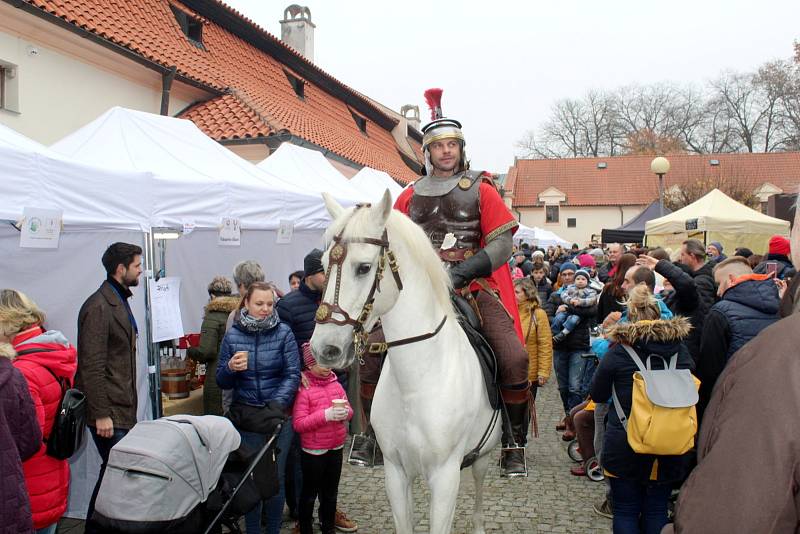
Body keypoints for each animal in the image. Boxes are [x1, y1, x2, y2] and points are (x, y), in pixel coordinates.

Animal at [310, 193, 500, 534]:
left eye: (364, 268)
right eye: (323, 265)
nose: (325, 349)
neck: (419, 380)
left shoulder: (445, 477)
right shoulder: (396, 472)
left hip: (483, 457)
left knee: (479, 497)